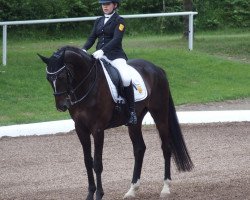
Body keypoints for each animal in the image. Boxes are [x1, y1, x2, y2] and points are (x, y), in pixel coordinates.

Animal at [37, 45, 193, 200]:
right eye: (48, 79)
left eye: (62, 76)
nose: (62, 106)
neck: (87, 85)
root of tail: (156, 68)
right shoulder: (81, 129)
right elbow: (87, 161)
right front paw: (90, 194)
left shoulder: (97, 129)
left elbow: (97, 163)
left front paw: (99, 194)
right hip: (134, 122)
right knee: (139, 149)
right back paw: (132, 190)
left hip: (159, 114)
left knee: (166, 147)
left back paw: (165, 188)